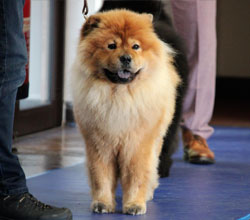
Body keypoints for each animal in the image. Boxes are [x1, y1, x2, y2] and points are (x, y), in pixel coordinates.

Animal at [72, 9, 182, 216]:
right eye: (111, 46)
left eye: (136, 46)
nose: (125, 58)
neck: (119, 96)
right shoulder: (99, 145)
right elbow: (101, 176)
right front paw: (102, 203)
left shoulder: (137, 145)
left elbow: (136, 176)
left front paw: (134, 204)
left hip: (157, 140)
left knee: (152, 166)